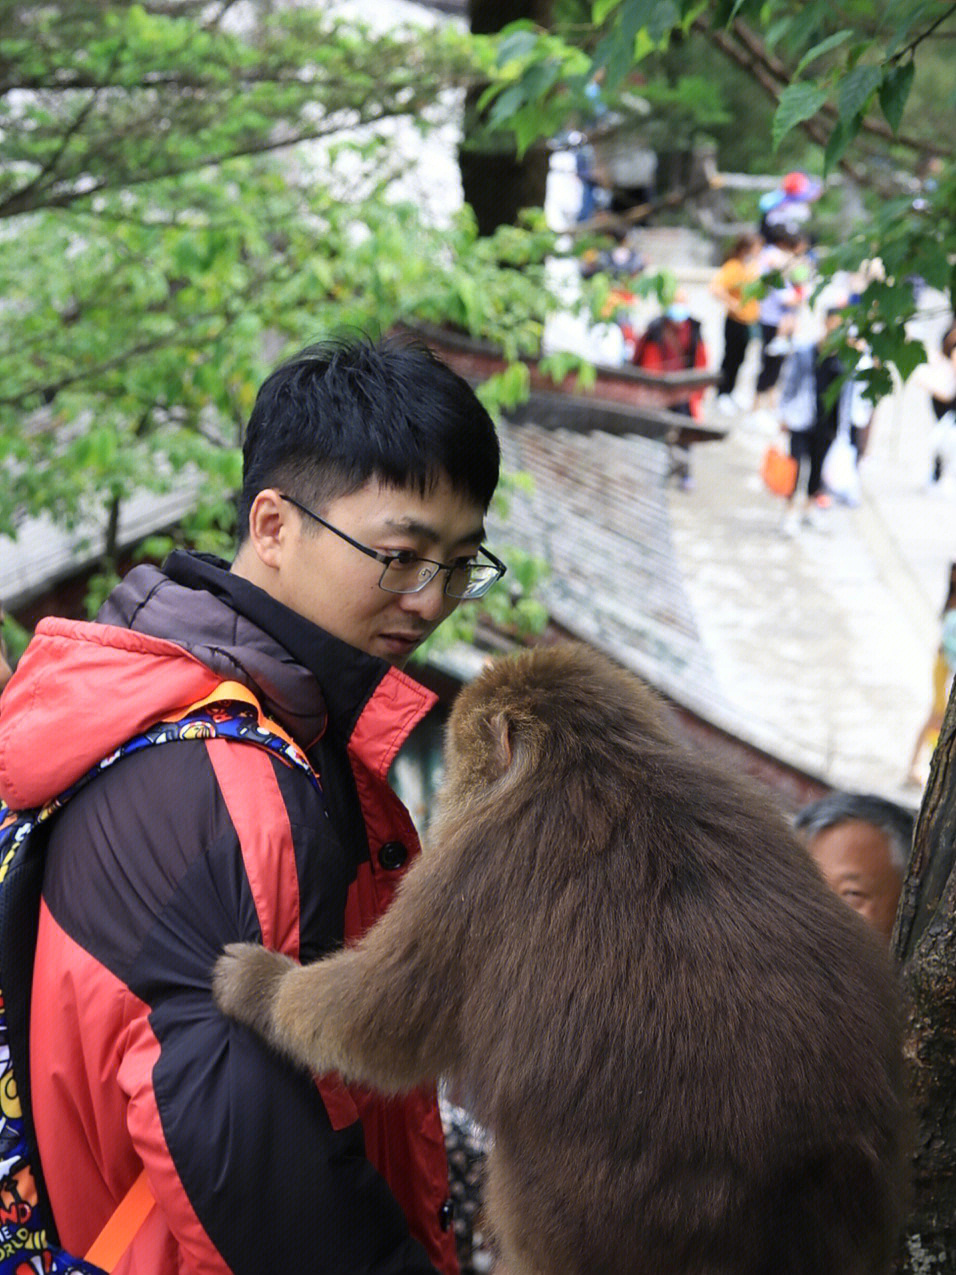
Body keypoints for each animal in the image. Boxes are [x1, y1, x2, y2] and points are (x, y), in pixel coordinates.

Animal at [212, 642, 907, 1275]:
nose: (450, 793)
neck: (599, 758)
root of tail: (804, 1175)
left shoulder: (475, 865)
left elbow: (381, 1015)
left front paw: (259, 987)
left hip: (598, 1218)